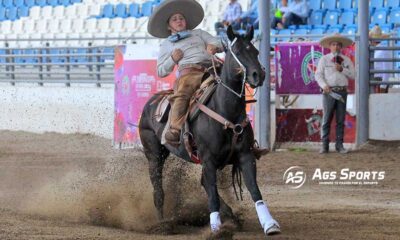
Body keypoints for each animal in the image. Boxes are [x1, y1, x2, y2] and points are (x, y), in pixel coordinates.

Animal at [139, 25, 280, 236]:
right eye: (237, 51)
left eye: (255, 51)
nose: (258, 75)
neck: (225, 110)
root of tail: (152, 101)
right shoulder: (208, 159)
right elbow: (212, 194)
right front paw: (216, 228)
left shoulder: (245, 156)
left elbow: (254, 190)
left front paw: (269, 224)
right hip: (154, 155)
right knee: (159, 190)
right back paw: (162, 224)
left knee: (203, 183)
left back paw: (231, 216)